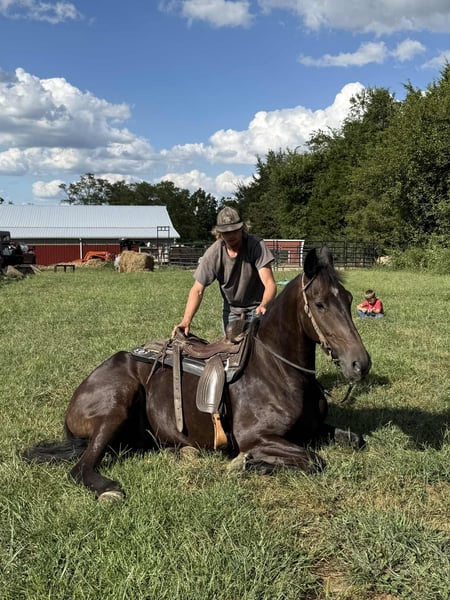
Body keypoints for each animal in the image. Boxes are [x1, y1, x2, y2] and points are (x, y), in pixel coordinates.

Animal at [23, 246, 371, 500]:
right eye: (320, 304)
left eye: (349, 299)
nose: (361, 364)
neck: (279, 372)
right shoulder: (256, 438)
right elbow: (314, 460)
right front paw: (248, 464)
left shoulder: (315, 429)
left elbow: (355, 439)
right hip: (116, 406)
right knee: (81, 468)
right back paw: (109, 489)